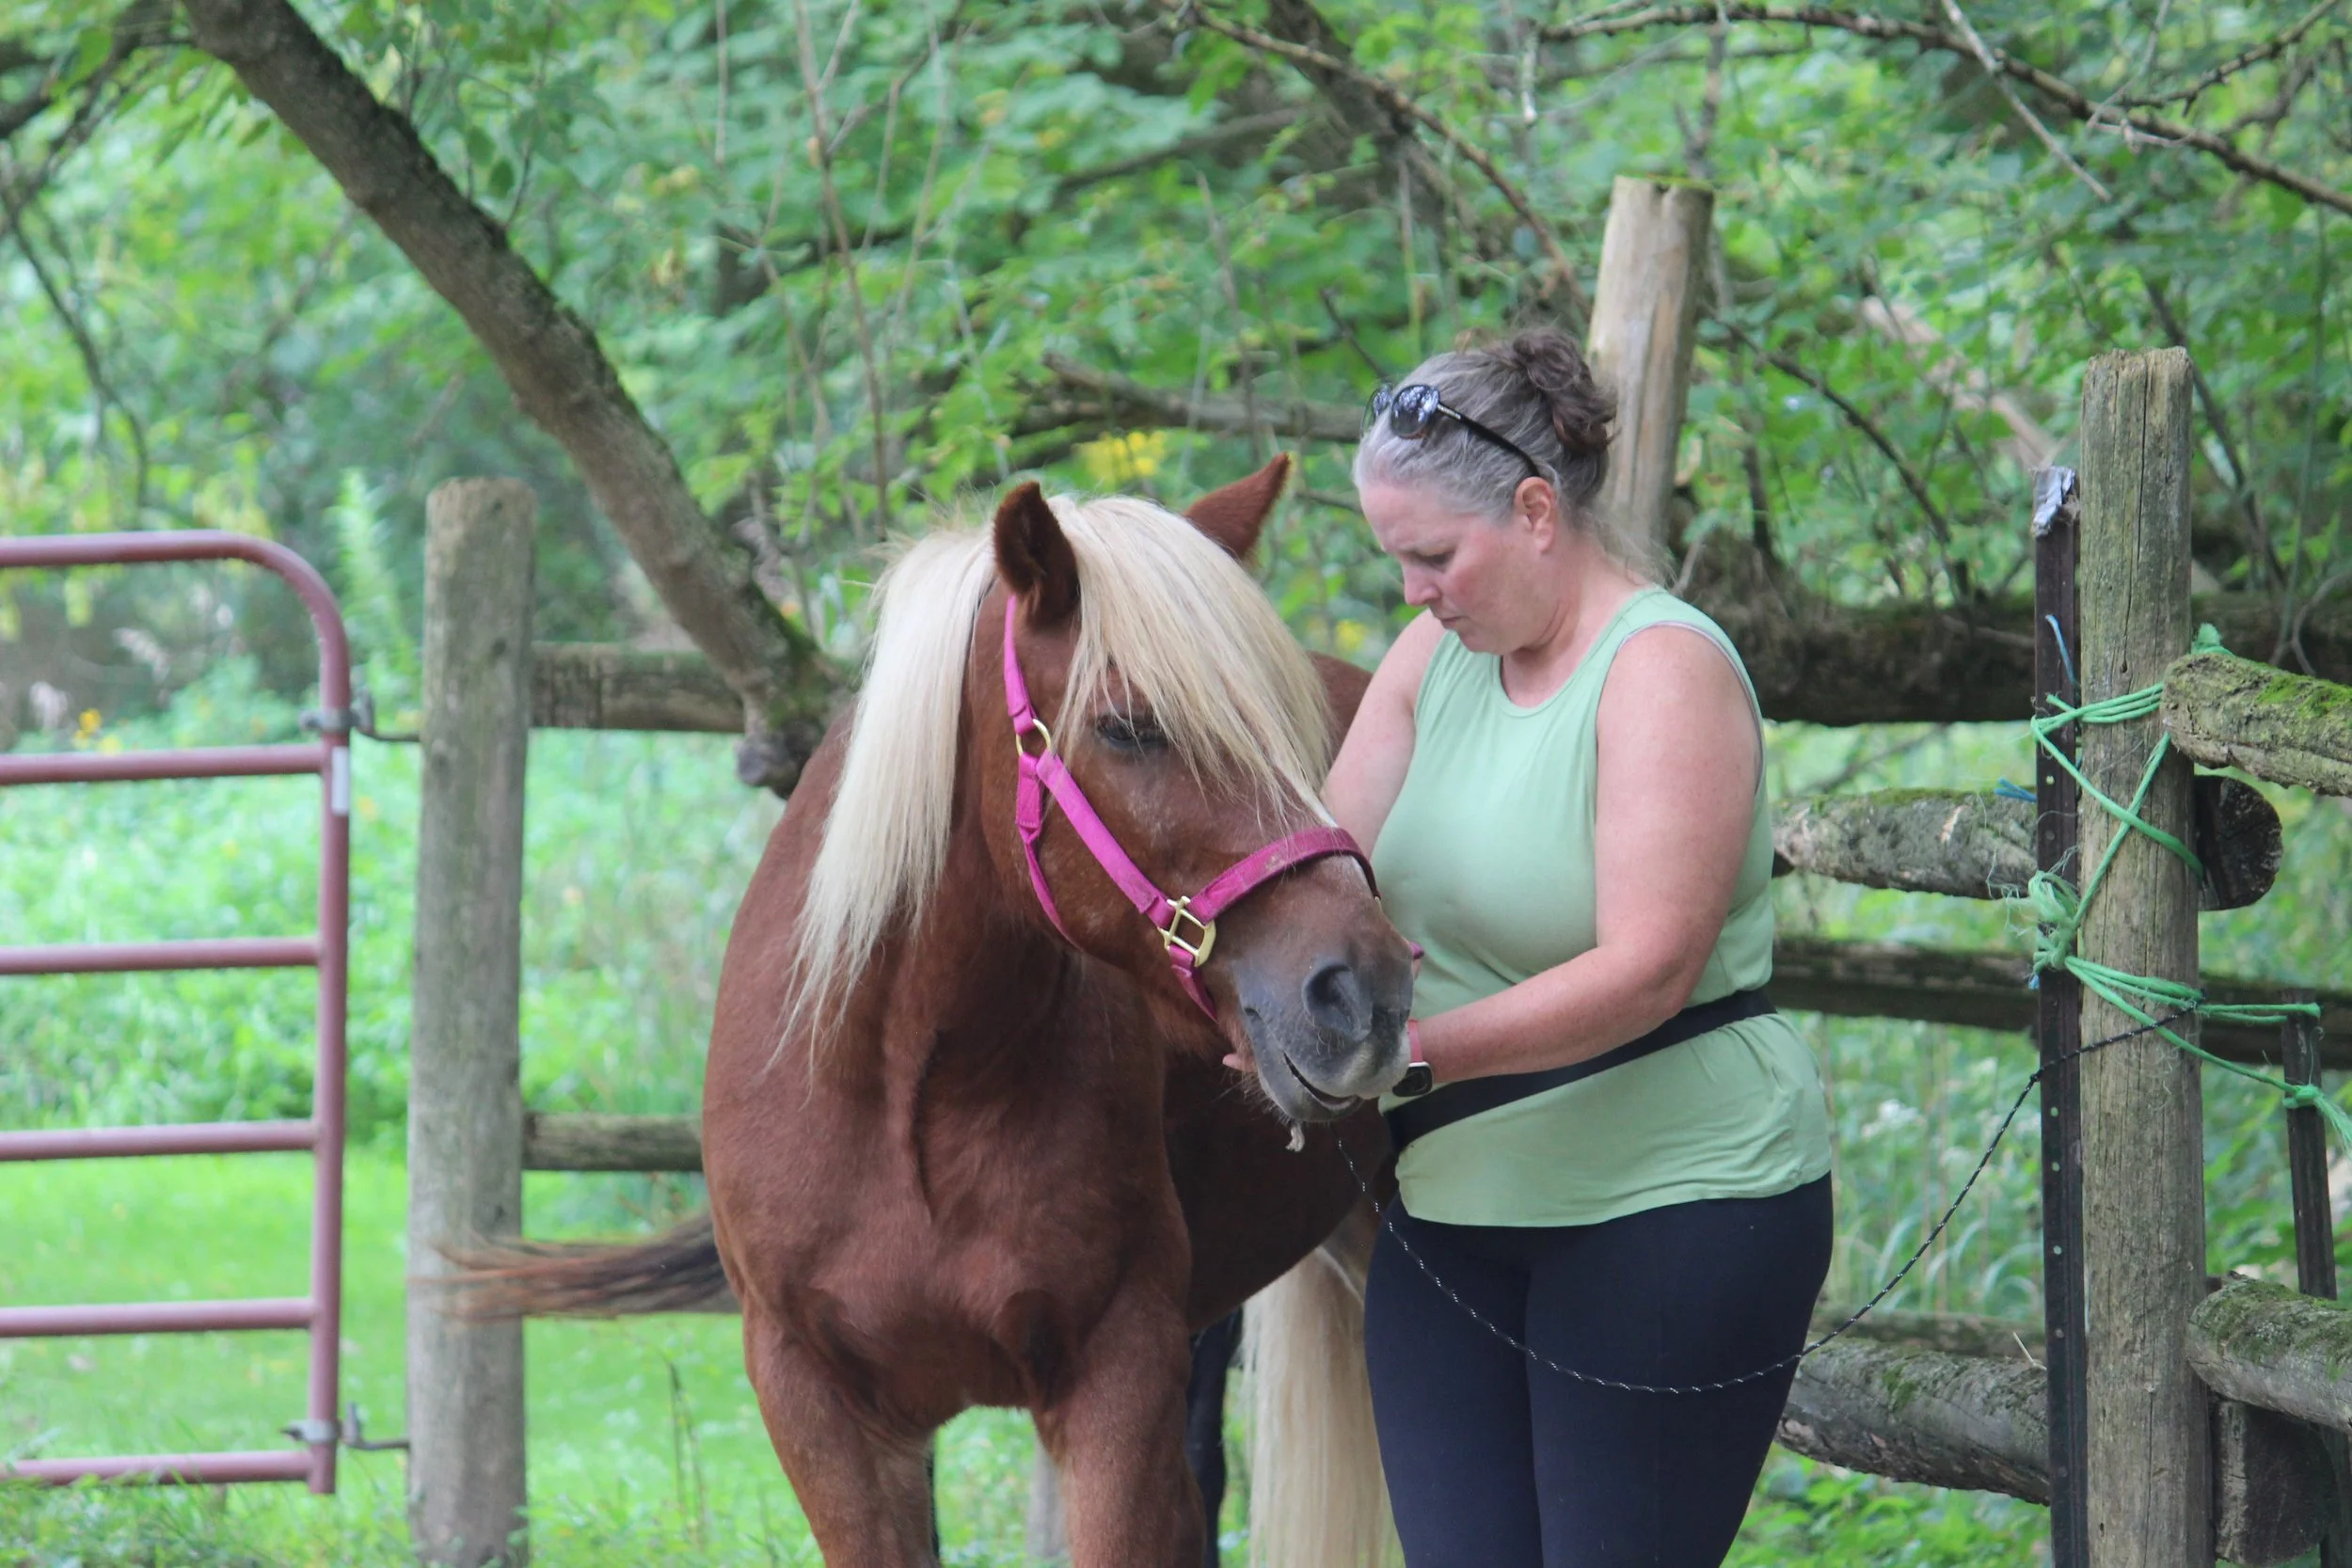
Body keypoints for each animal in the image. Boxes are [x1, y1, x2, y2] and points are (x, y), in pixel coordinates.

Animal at [472, 460, 1411, 1568]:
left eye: (1299, 742)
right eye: (1127, 725)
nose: (1362, 989)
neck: (906, 1084)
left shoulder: (1119, 1378)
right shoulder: (824, 1411)